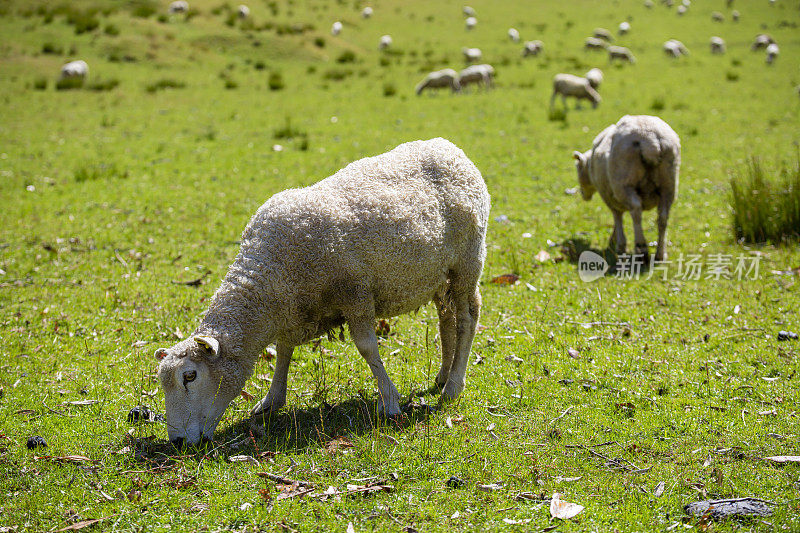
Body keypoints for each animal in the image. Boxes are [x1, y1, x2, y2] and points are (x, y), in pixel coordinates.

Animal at [151, 138, 488, 444]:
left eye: (190, 376)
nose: (177, 441)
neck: (270, 275)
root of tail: (450, 148)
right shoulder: (293, 308)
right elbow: (283, 350)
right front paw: (271, 400)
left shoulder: (355, 293)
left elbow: (367, 348)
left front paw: (389, 401)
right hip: (439, 275)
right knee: (446, 320)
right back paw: (443, 375)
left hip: (467, 261)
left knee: (466, 318)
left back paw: (453, 386)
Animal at [572, 115, 680, 262]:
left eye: (578, 169)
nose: (584, 195)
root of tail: (649, 139)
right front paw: (614, 239)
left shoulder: (608, 195)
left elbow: (617, 216)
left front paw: (618, 243)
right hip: (668, 185)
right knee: (663, 217)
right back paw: (660, 253)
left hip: (624, 184)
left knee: (636, 211)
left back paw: (641, 248)